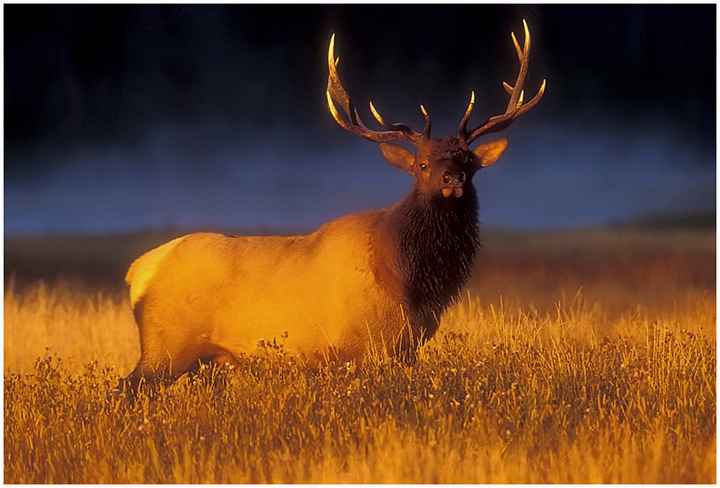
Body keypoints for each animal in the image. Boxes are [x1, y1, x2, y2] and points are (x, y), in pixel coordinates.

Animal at [117, 21, 545, 395]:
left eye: (468, 162)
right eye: (422, 164)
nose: (451, 179)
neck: (408, 278)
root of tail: (138, 272)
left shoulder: (406, 348)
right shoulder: (372, 346)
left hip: (205, 360)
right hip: (165, 348)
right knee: (125, 388)